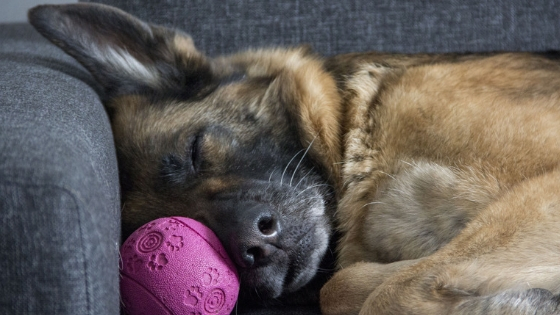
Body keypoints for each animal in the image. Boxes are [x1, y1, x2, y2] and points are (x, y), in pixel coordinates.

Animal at [28, 3, 560, 315]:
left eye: (195, 150)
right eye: (174, 224)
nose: (252, 250)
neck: (355, 124)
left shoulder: (544, 187)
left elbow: (389, 288)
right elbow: (345, 286)